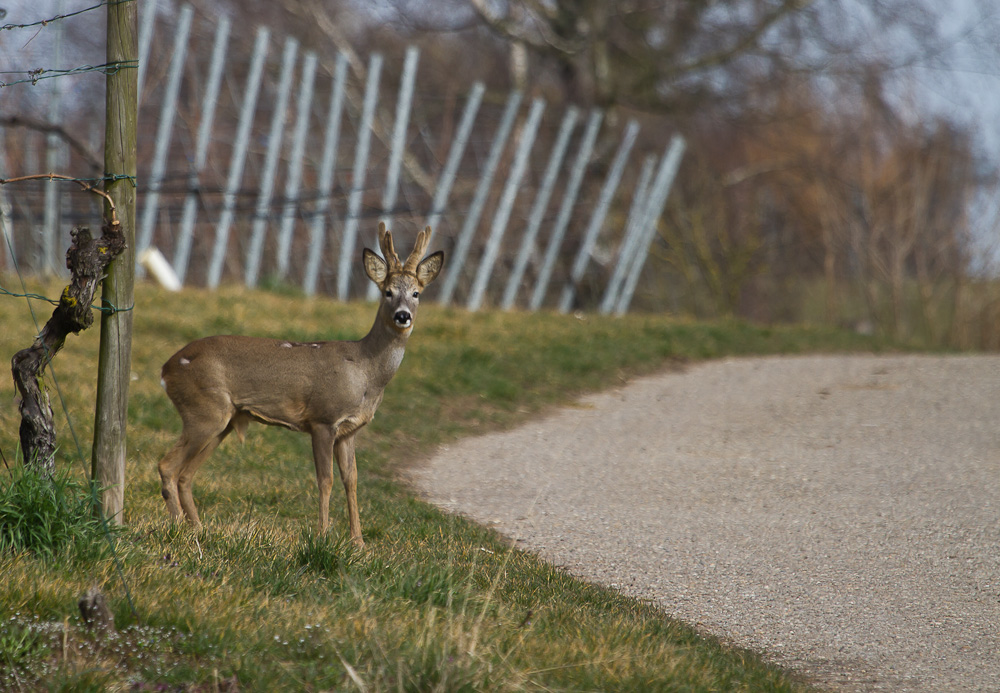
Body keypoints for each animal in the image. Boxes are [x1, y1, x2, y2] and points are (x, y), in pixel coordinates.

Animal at [158, 223, 444, 548]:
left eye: (416, 293)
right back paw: (178, 528)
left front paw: (358, 542)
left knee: (186, 474)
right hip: (203, 411)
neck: (365, 371)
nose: (402, 316)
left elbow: (352, 480)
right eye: (388, 292)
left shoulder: (350, 431)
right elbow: (325, 480)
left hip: (224, 420)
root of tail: (166, 369)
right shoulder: (323, 418)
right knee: (168, 466)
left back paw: (197, 529)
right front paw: (322, 536)